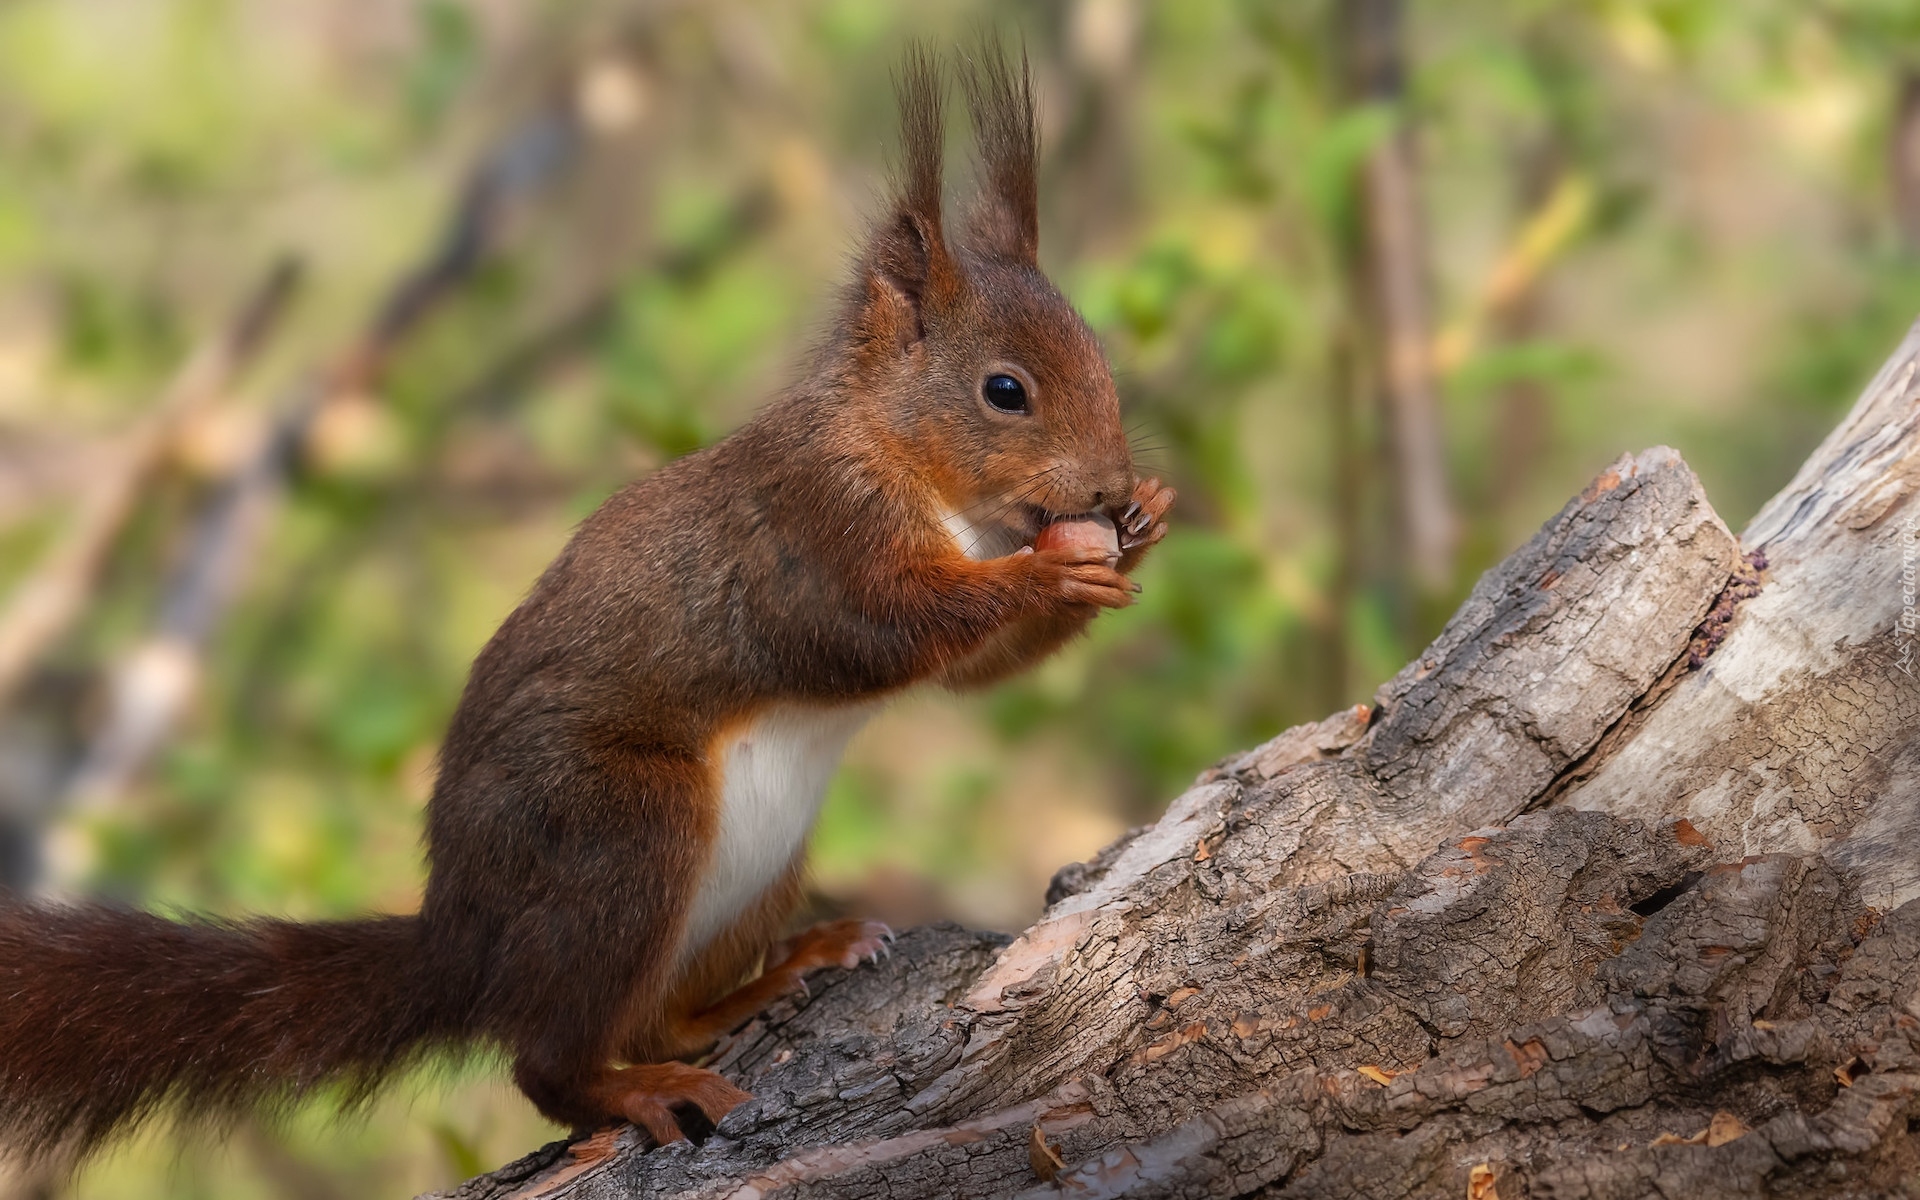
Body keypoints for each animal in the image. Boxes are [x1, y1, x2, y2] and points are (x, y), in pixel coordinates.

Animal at [0, 46, 1167, 1159]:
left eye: (1101, 358)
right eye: (1004, 391)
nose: (1110, 484)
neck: (916, 468)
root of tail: (463, 944)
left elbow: (973, 676)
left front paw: (1142, 527)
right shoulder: (811, 530)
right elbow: (875, 632)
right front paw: (1048, 570)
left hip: (755, 869)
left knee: (651, 1016)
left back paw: (778, 973)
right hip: (622, 833)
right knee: (547, 1060)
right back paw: (635, 1090)